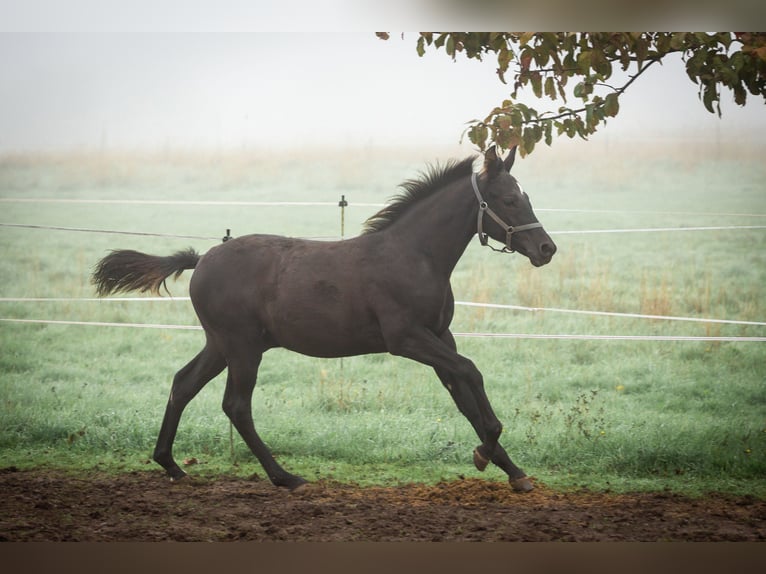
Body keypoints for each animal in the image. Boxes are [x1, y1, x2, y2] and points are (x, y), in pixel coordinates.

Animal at [93, 146, 560, 492]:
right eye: (508, 199)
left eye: (526, 197)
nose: (546, 249)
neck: (414, 256)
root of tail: (202, 258)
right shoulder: (406, 338)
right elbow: (471, 372)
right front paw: (485, 452)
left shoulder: (441, 336)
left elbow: (462, 393)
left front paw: (514, 472)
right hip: (241, 347)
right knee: (236, 405)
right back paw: (285, 477)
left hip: (221, 344)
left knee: (183, 384)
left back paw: (171, 465)